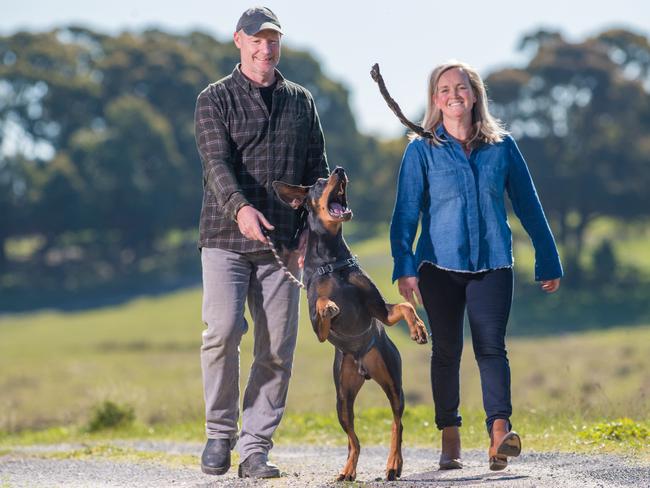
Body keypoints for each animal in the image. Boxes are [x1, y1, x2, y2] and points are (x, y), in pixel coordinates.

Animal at [272, 167, 428, 480]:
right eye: (320, 183)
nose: (340, 170)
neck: (332, 260)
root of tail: (363, 369)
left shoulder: (379, 310)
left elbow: (404, 306)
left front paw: (418, 328)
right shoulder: (318, 328)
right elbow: (322, 305)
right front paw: (330, 306)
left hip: (392, 381)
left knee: (397, 423)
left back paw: (393, 464)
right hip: (342, 398)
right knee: (353, 438)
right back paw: (347, 470)